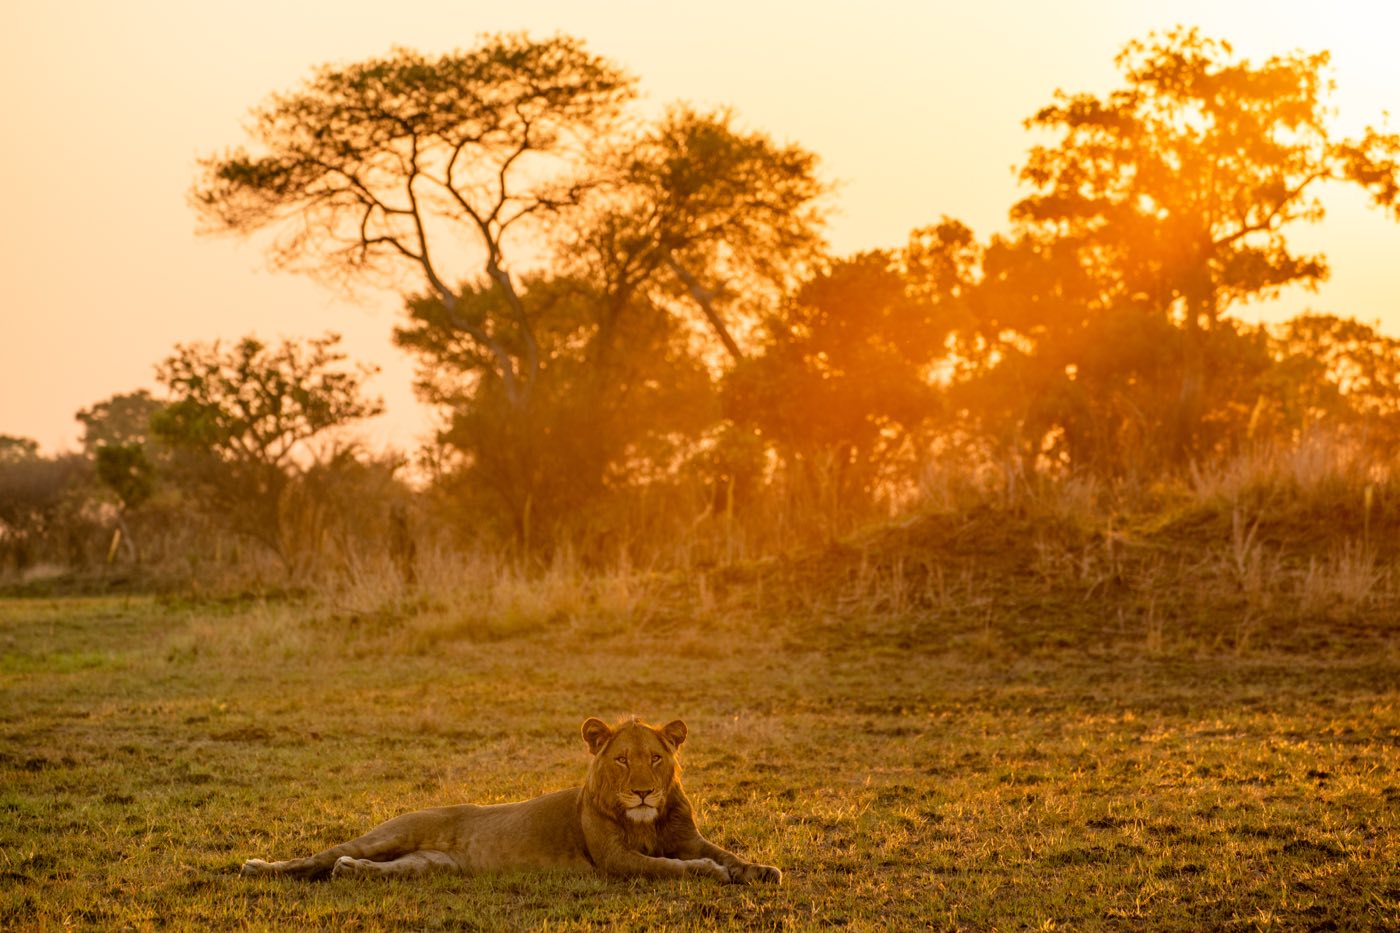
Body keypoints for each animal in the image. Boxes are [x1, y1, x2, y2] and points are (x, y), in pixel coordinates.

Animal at [240, 716, 782, 885]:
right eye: (622, 760)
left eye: (655, 757)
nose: (645, 791)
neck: (646, 821)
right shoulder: (615, 859)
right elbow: (668, 867)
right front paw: (710, 873)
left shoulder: (689, 837)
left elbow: (728, 854)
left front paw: (760, 870)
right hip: (391, 834)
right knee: (315, 858)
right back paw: (258, 866)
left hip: (429, 864)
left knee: (371, 867)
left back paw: (352, 872)